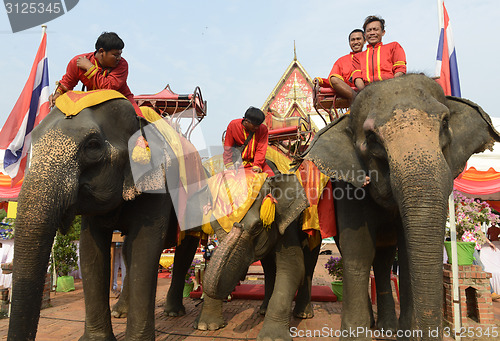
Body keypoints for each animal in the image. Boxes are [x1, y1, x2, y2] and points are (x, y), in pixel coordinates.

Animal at [296, 73, 500, 338]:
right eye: (371, 137)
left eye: (445, 123)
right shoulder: (349, 186)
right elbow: (358, 248)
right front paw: (356, 335)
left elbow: (406, 252)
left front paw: (409, 332)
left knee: (384, 260)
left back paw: (387, 327)